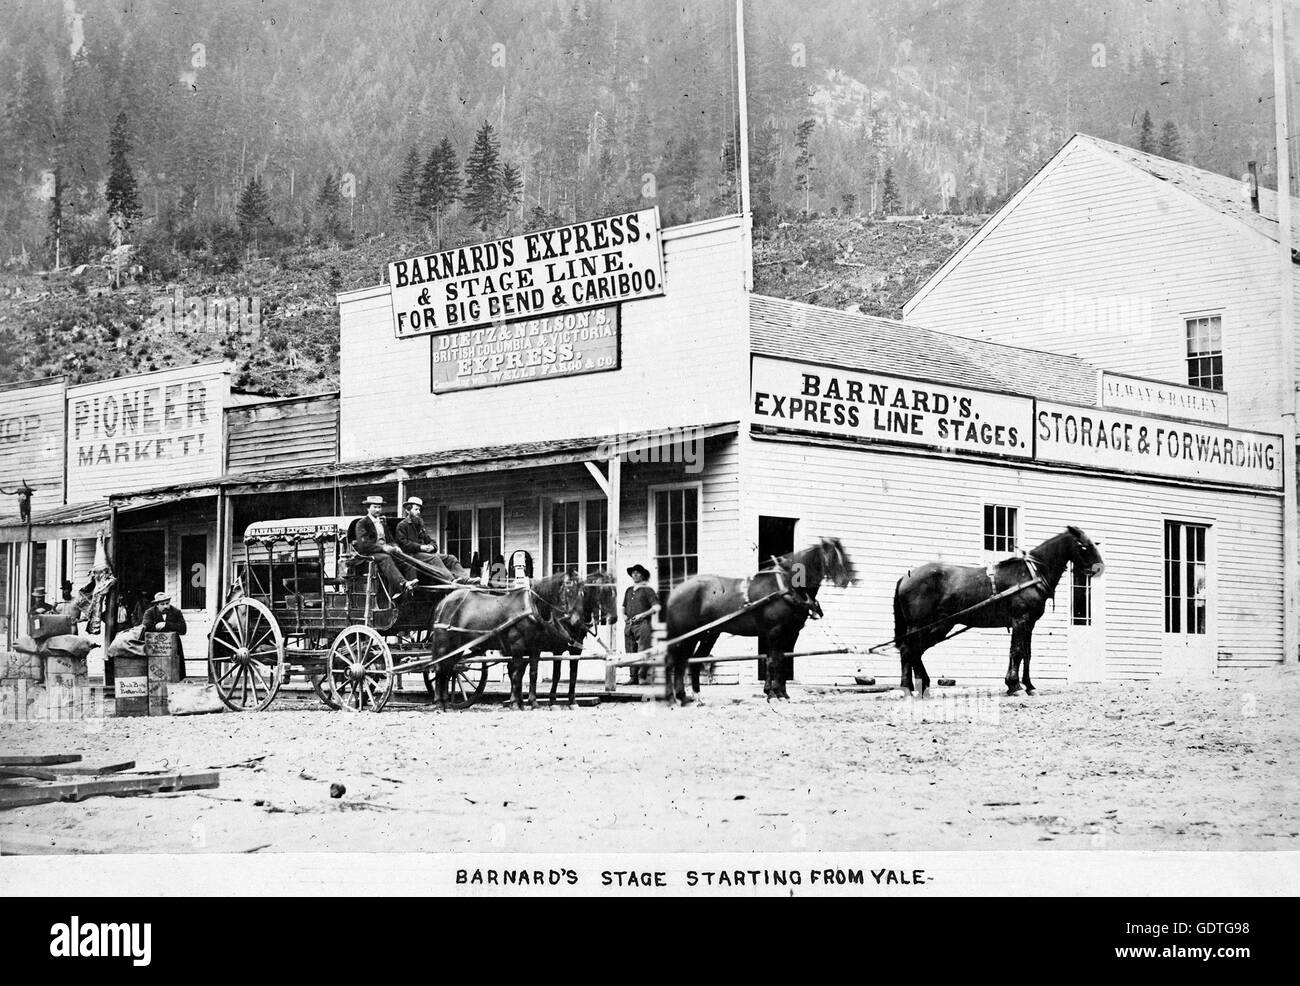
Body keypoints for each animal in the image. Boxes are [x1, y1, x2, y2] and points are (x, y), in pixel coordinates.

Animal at [428, 572, 587, 712]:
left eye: (581, 592)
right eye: (568, 590)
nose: (577, 621)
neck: (531, 607)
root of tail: (443, 603)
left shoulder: (534, 648)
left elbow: (532, 673)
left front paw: (532, 703)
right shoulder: (517, 646)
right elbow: (516, 673)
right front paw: (515, 703)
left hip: (457, 647)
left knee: (448, 670)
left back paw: (446, 703)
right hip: (445, 645)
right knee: (440, 669)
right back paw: (440, 704)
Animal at [665, 535, 857, 707]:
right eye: (832, 556)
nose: (847, 580)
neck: (787, 587)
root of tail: (676, 590)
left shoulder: (791, 632)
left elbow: (783, 660)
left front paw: (782, 693)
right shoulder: (774, 632)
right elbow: (773, 661)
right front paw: (773, 694)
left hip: (709, 633)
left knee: (692, 660)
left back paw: (693, 697)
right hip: (689, 634)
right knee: (679, 660)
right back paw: (678, 697)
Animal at [894, 528, 1107, 697]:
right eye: (1083, 546)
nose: (1099, 568)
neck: (1031, 574)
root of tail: (906, 576)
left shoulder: (1029, 623)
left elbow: (1026, 653)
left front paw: (1028, 686)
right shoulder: (1020, 620)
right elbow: (1017, 651)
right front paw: (1015, 686)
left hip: (938, 626)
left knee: (914, 651)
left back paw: (919, 686)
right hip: (924, 626)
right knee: (909, 650)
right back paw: (909, 687)